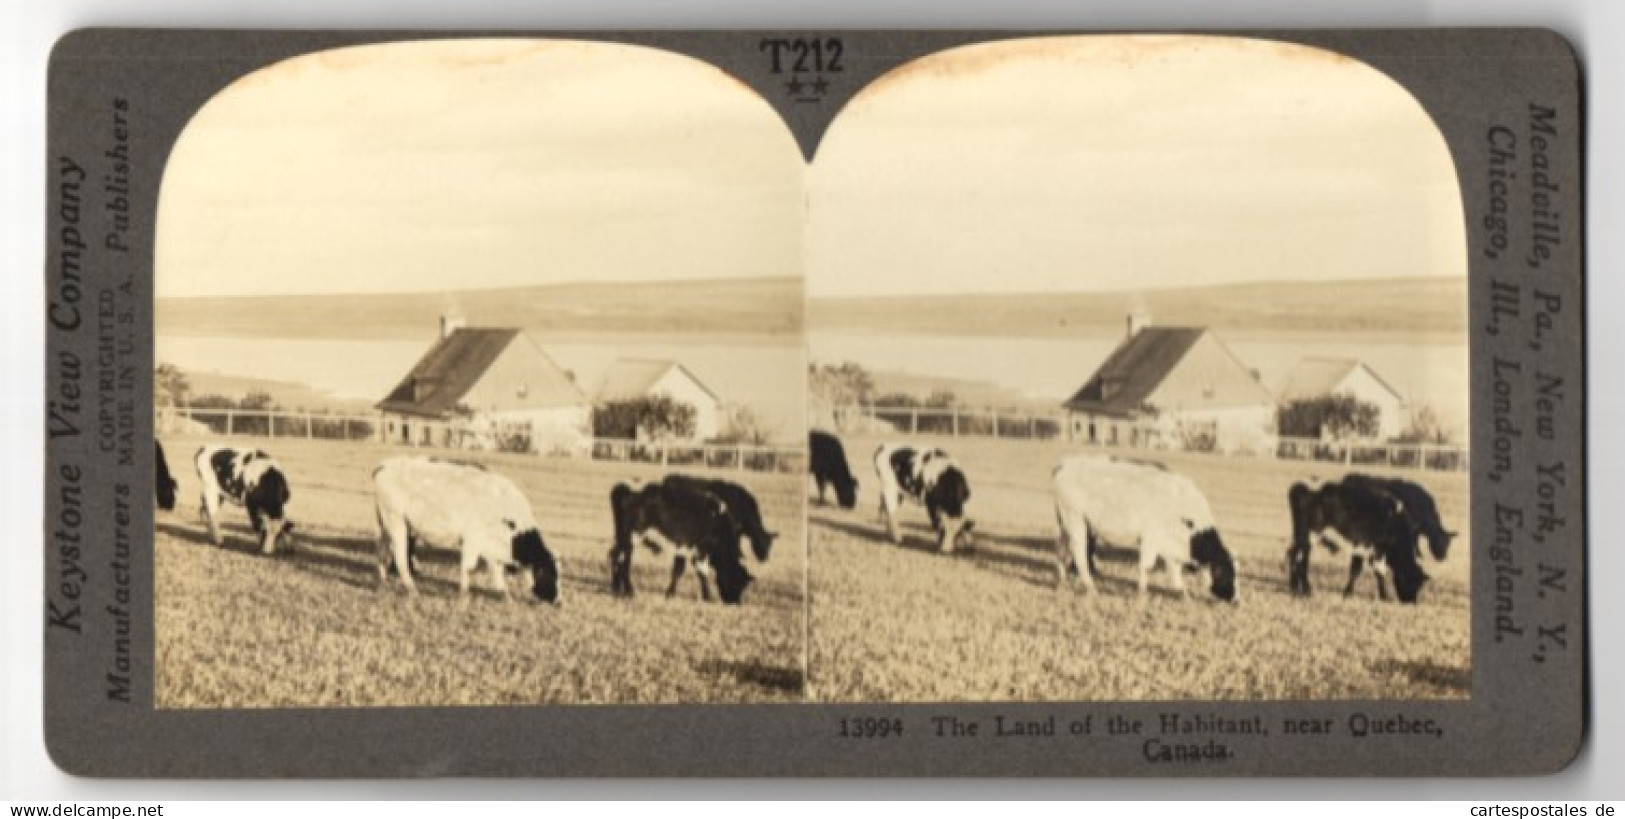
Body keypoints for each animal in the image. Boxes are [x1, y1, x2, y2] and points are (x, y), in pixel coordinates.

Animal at [372, 458, 562, 604]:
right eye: (550, 575)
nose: (559, 602)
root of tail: (385, 465)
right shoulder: (473, 539)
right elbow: (469, 568)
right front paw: (463, 598)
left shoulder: (490, 548)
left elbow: (497, 573)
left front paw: (507, 599)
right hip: (397, 523)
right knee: (400, 558)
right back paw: (413, 590)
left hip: (387, 527)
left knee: (382, 551)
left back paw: (384, 582)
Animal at [611, 481, 754, 601]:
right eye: (738, 582)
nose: (735, 602)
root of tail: (631, 494)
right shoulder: (699, 549)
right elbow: (701, 570)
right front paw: (707, 597)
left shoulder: (683, 547)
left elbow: (679, 569)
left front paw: (670, 593)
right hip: (632, 537)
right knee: (620, 560)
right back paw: (629, 592)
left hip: (625, 538)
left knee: (617, 558)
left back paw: (617, 589)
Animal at [1046, 455, 1235, 601]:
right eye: (1228, 574)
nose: (1236, 600)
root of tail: (1064, 465)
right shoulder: (1151, 537)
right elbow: (1147, 567)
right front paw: (1142, 595)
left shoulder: (1169, 546)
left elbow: (1175, 574)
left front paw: (1184, 596)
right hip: (1076, 520)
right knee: (1079, 554)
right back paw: (1091, 588)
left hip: (1065, 525)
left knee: (1060, 549)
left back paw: (1061, 582)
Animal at [1287, 481, 1430, 601]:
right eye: (1412, 581)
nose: (1411, 602)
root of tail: (1310, 493)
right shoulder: (1372, 548)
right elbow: (1373, 570)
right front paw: (1384, 596)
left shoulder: (1363, 548)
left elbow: (1362, 570)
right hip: (1310, 536)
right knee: (1298, 558)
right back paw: (1305, 591)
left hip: (1303, 538)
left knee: (1296, 557)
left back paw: (1296, 588)